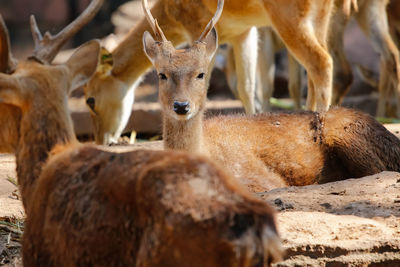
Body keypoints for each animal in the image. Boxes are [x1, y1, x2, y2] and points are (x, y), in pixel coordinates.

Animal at [84, 0, 338, 146]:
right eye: (162, 75)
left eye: (90, 100)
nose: (101, 140)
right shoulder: (243, 32)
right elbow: (247, 87)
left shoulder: (196, 25)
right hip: (322, 17)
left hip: (289, 17)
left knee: (322, 62)